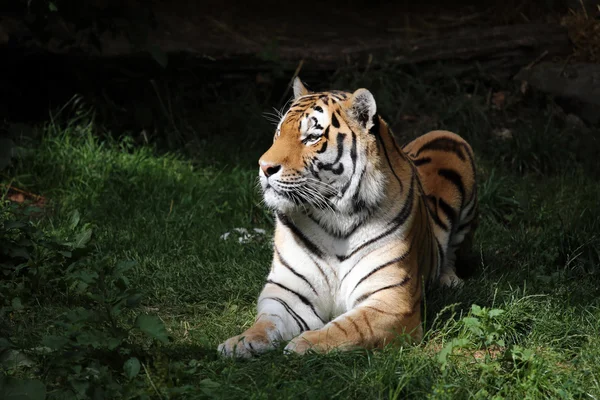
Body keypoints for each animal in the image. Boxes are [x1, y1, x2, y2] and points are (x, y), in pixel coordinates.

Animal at [219, 78, 478, 356]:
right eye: (278, 134)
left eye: (312, 137)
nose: (264, 167)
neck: (335, 218)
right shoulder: (289, 294)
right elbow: (267, 322)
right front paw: (240, 342)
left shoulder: (391, 301)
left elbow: (349, 327)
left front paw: (303, 343)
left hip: (452, 142)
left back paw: (450, 280)